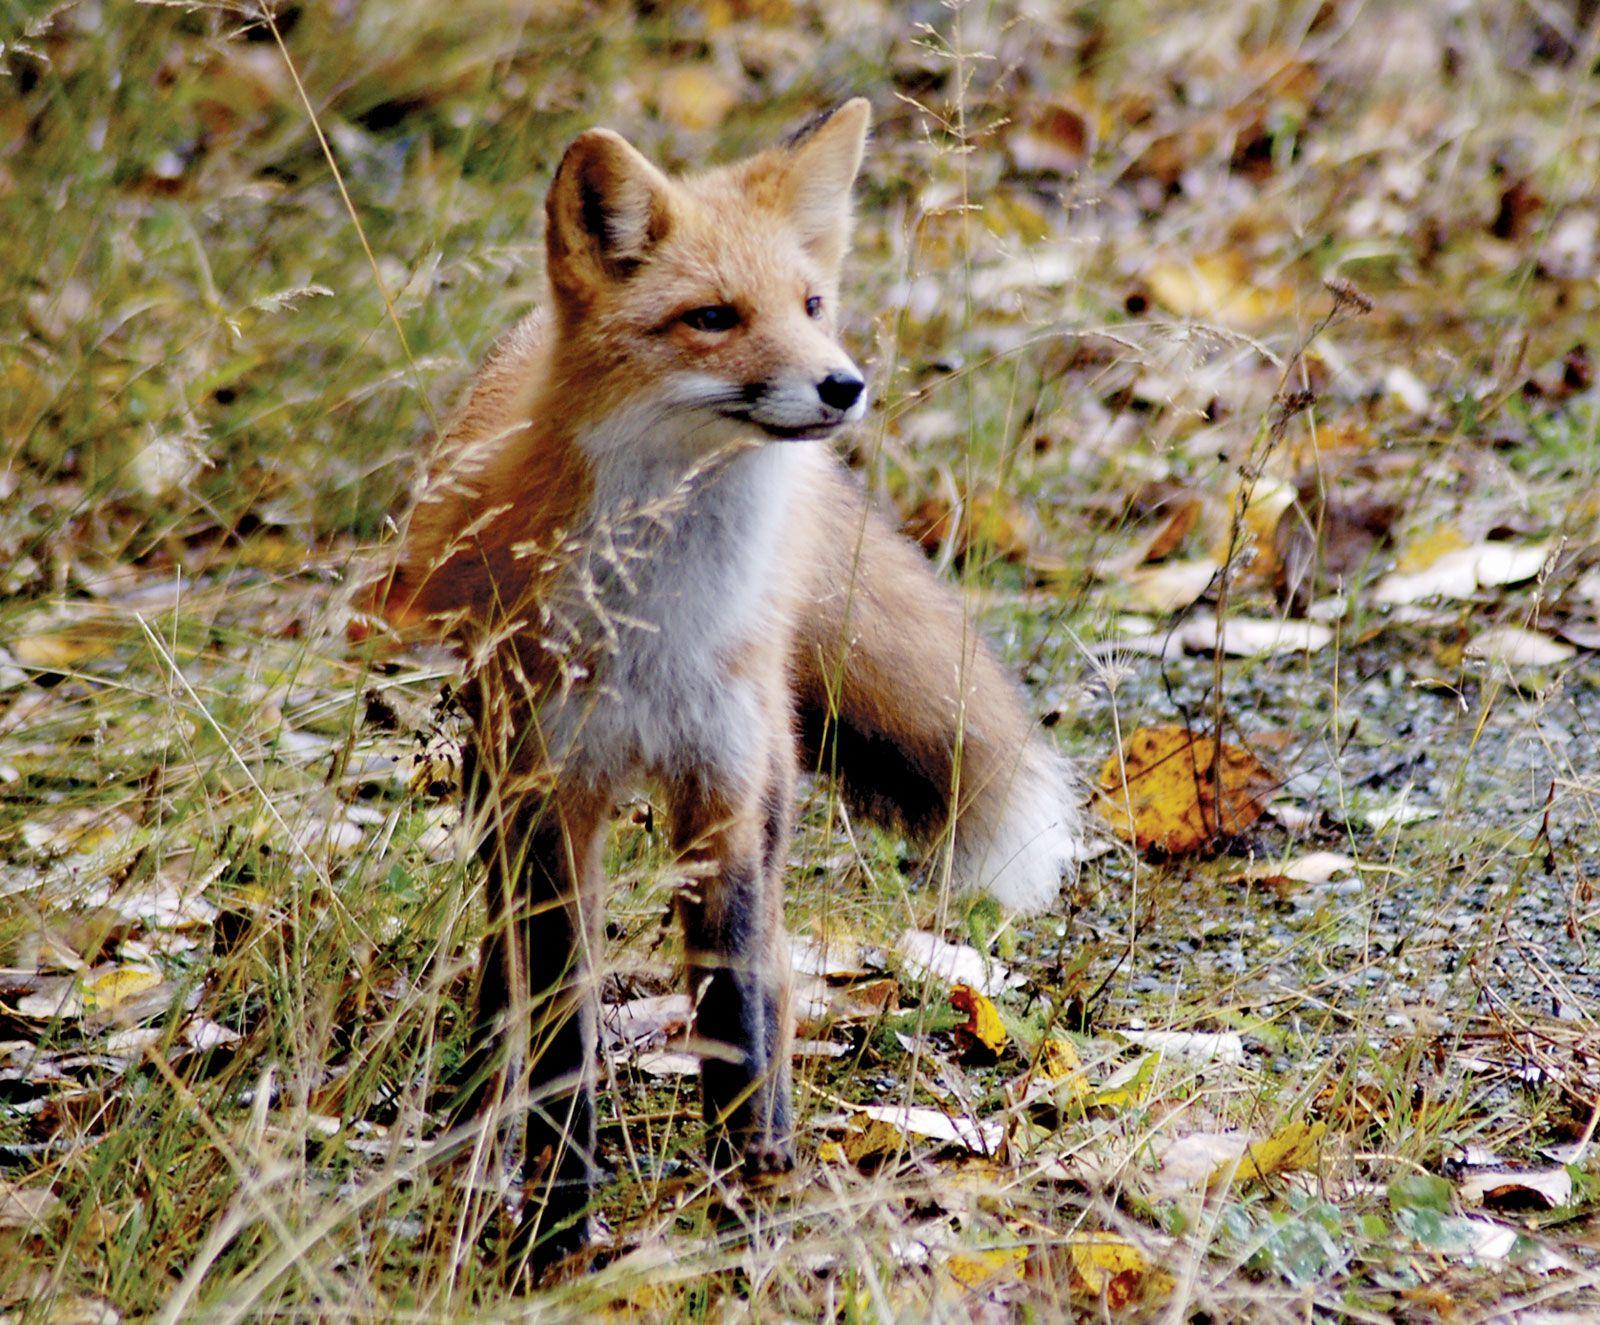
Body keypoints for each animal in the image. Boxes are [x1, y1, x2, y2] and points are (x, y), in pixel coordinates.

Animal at [373, 98, 1083, 1264]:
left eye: (812, 304)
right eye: (712, 317)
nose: (843, 384)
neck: (664, 616)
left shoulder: (724, 790)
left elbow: (733, 1018)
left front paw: (749, 1201)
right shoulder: (555, 800)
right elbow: (564, 1034)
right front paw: (555, 1235)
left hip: (771, 782)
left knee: (774, 979)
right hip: (497, 784)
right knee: (501, 969)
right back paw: (479, 1108)